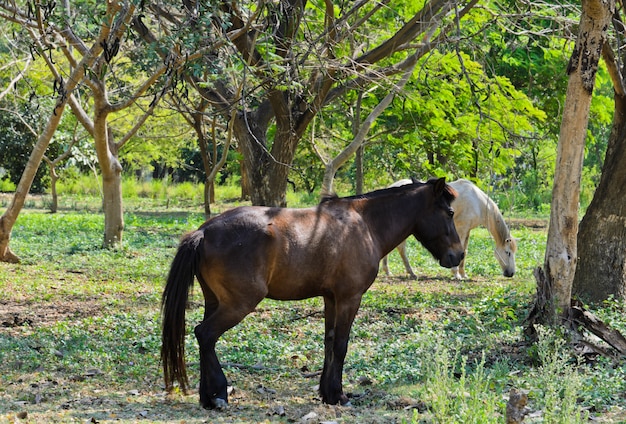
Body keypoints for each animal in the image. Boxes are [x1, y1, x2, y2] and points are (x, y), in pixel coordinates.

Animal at [161, 177, 464, 410]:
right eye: (449, 213)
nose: (458, 256)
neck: (365, 224)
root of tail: (204, 231)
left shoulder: (331, 298)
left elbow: (328, 343)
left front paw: (326, 393)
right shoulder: (349, 298)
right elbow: (341, 345)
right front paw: (339, 395)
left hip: (215, 302)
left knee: (204, 339)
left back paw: (207, 397)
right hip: (238, 304)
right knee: (205, 334)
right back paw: (219, 395)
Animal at [380, 178, 516, 278]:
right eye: (508, 252)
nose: (511, 273)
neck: (477, 202)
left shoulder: (468, 230)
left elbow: (465, 251)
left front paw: (463, 274)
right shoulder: (462, 228)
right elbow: (460, 250)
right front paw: (456, 274)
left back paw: (389, 271)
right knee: (401, 249)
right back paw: (410, 273)